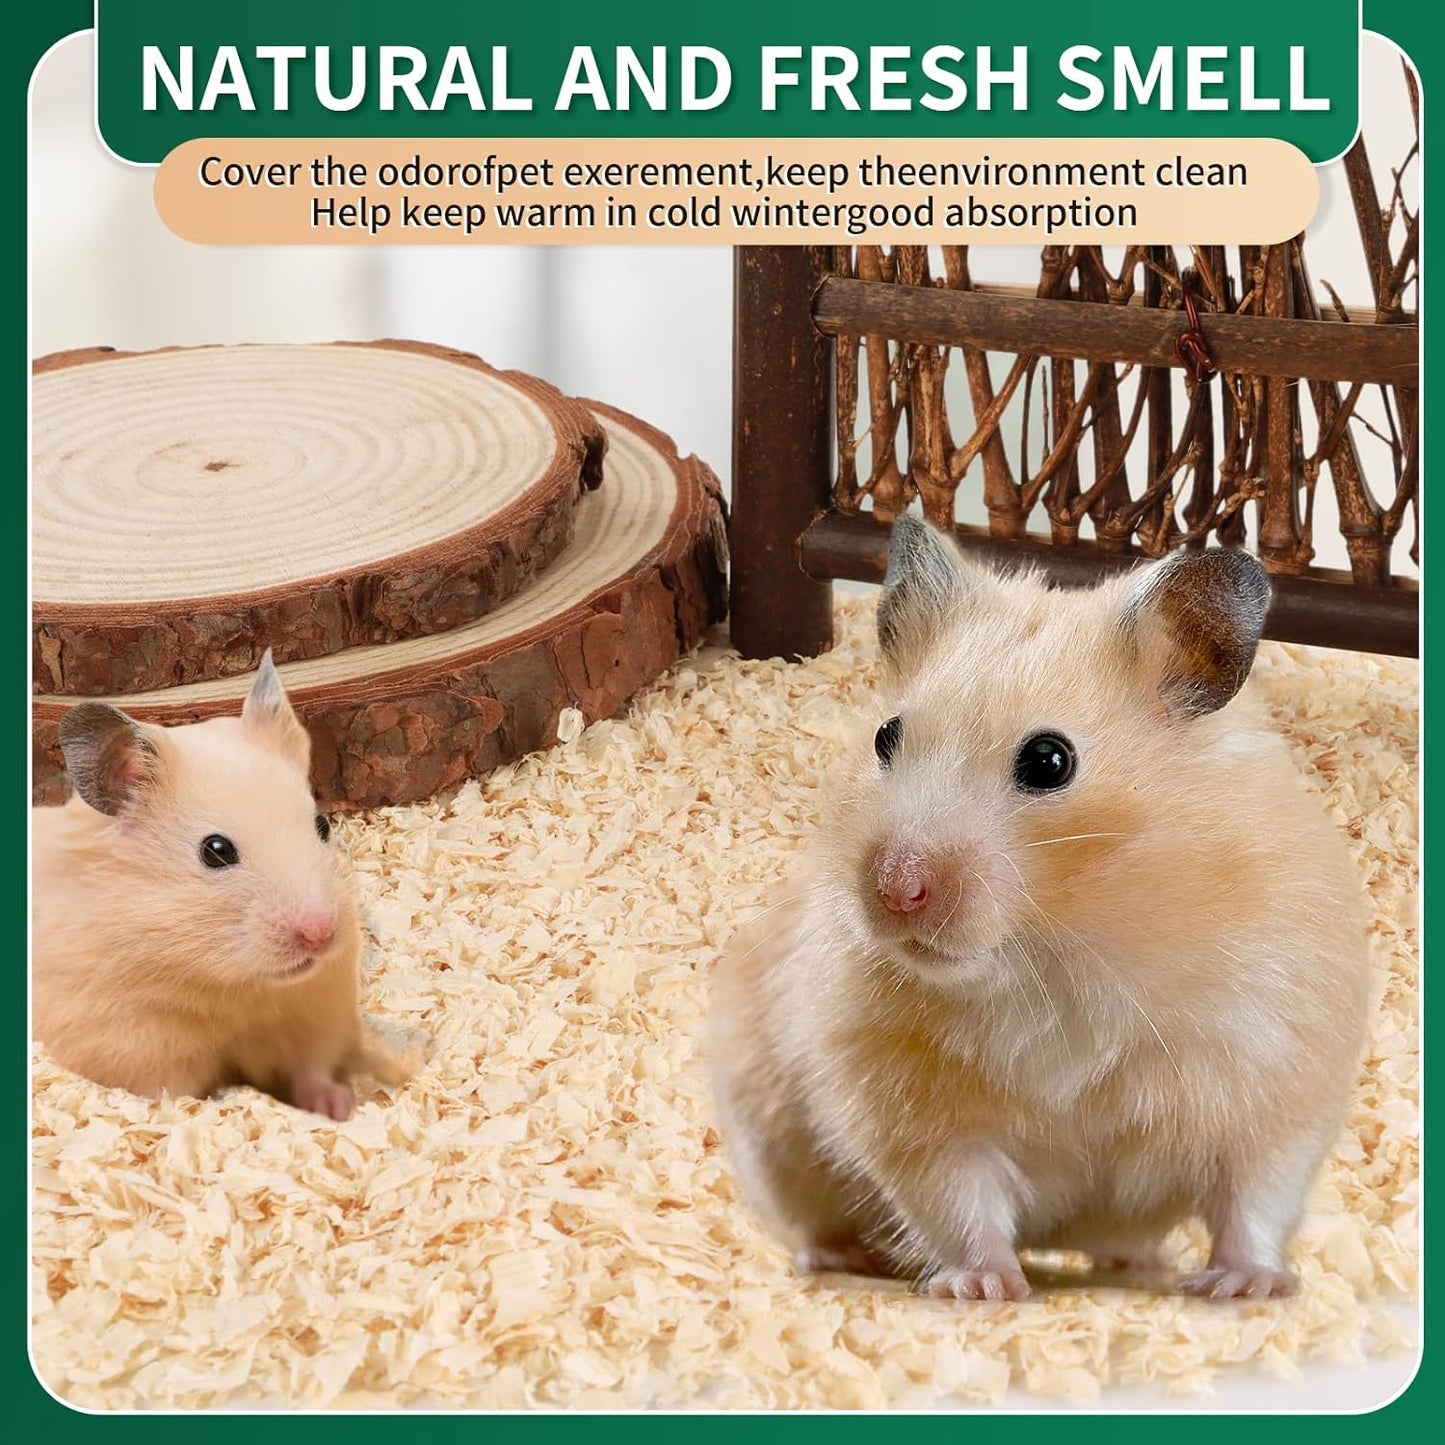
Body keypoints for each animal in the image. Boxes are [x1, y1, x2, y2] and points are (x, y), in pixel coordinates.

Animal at [32, 652, 410, 1119]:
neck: (235, 988)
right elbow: (175, 1094)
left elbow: (311, 1069)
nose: (321, 934)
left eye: (322, 825)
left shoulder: (315, 1012)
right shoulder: (132, 1043)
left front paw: (338, 1107)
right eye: (215, 851)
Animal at [710, 516, 1371, 1302]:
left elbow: (1254, 1198)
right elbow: (957, 1200)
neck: (1058, 949)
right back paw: (837, 1261)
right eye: (884, 736)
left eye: (1050, 761)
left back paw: (1145, 1268)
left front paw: (1248, 1287)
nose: (896, 890)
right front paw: (982, 1288)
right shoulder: (908, 1109)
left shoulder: (1276, 1079)